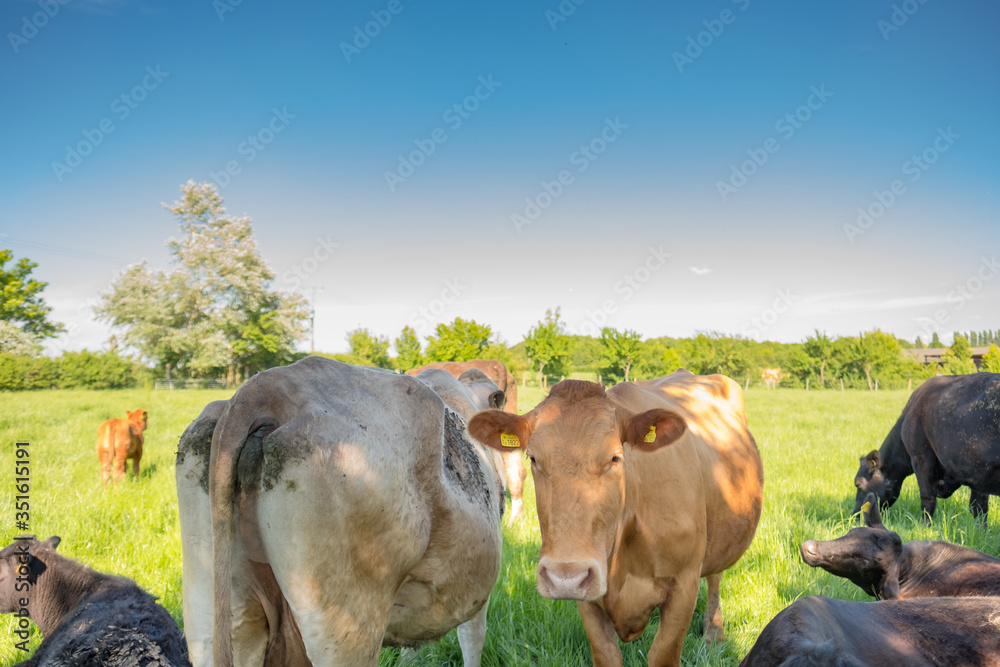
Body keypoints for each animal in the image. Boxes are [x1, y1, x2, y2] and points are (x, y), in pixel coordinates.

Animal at [467, 369, 763, 667]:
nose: (565, 578)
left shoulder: (684, 584)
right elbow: (606, 653)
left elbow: (663, 654)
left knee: (714, 578)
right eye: (533, 458)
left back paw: (714, 634)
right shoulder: (588, 598)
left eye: (615, 458)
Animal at [853, 372, 1000, 521]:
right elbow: (979, 507)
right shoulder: (976, 471)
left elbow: (927, 498)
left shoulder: (920, 457)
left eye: (858, 484)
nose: (854, 515)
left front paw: (925, 525)